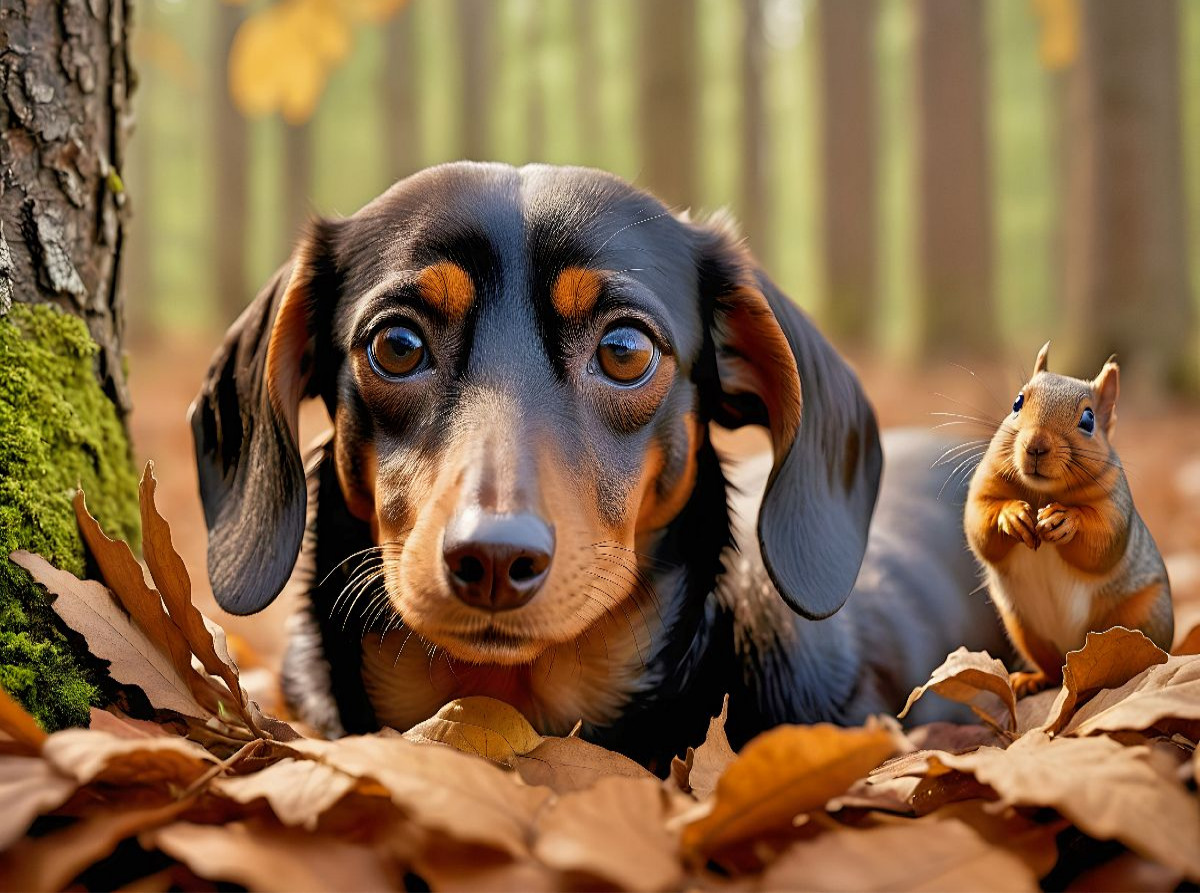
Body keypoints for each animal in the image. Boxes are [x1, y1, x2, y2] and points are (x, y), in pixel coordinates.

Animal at [965, 342, 1173, 696]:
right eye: (1017, 402)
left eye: (1089, 420)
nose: (1035, 446)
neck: (1042, 493)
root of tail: (1073, 659)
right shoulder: (986, 483)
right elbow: (978, 523)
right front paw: (1012, 515)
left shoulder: (1114, 503)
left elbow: (1103, 542)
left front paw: (1066, 520)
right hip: (1024, 630)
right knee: (1051, 670)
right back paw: (1032, 680)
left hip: (1143, 615)